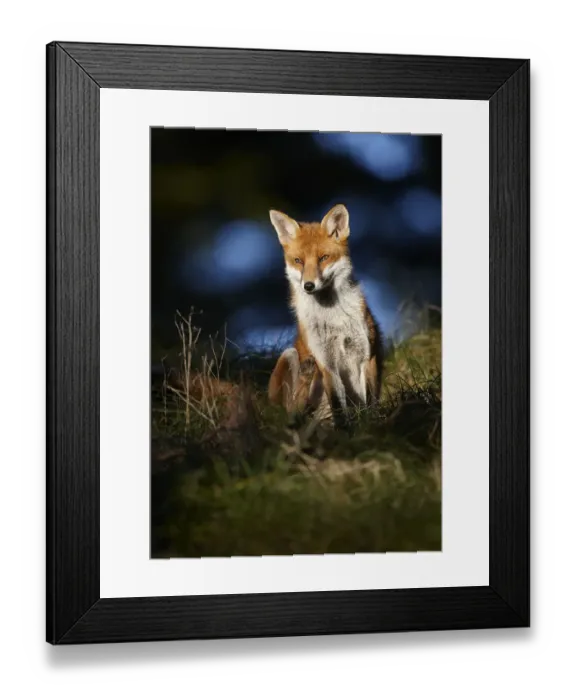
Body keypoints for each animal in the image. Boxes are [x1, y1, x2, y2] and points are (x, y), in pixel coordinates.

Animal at [267, 203, 385, 424]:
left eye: (323, 258)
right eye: (298, 261)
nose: (308, 285)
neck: (333, 316)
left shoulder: (367, 355)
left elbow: (371, 402)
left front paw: (373, 425)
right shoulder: (326, 363)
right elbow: (338, 405)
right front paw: (346, 431)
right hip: (288, 356)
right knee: (291, 413)